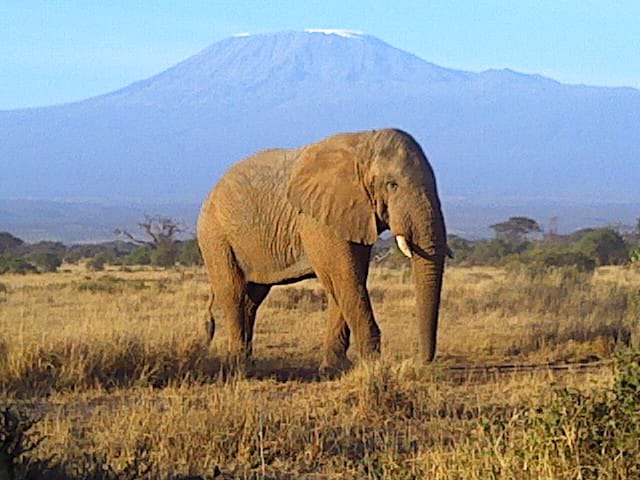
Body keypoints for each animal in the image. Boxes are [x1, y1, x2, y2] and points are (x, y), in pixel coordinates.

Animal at [197, 128, 448, 373]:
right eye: (392, 185)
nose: (419, 362)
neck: (362, 143)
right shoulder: (316, 219)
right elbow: (345, 277)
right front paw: (373, 366)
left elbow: (346, 281)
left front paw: (334, 369)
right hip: (215, 235)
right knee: (233, 293)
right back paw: (239, 367)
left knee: (253, 298)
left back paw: (247, 363)